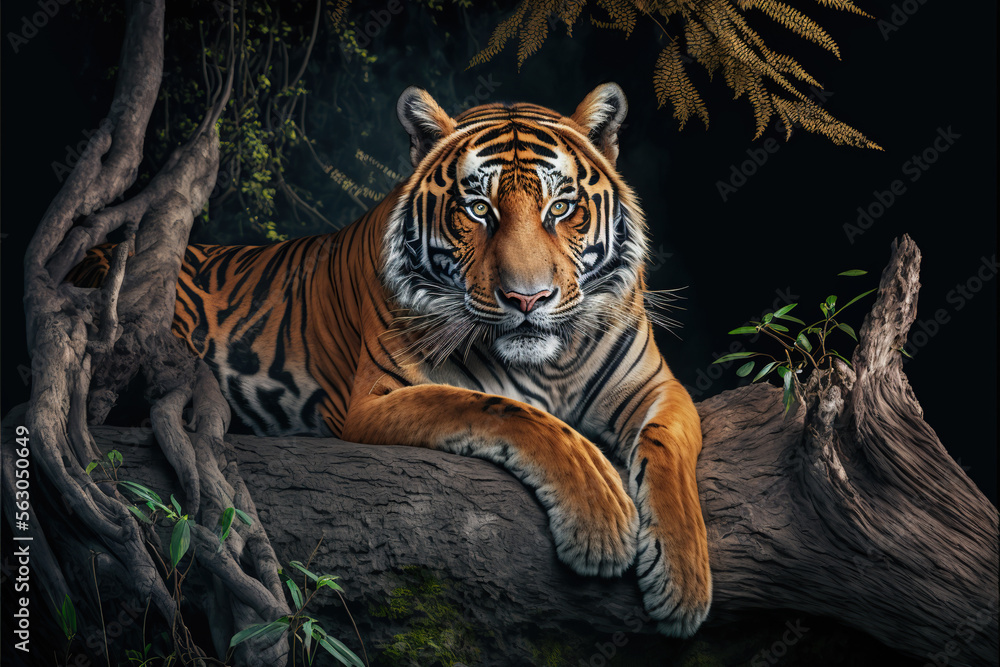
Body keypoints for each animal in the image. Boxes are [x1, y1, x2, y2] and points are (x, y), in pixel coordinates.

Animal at [69, 83, 712, 637]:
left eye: (560, 207)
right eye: (478, 209)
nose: (527, 299)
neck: (549, 365)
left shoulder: (655, 386)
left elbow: (669, 453)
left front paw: (683, 588)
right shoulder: (378, 399)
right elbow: (504, 411)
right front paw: (600, 523)